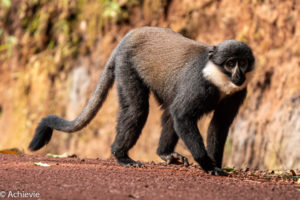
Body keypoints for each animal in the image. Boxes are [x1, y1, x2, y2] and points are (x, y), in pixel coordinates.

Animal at [29, 26, 255, 175]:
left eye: (243, 63)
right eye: (230, 64)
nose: (238, 75)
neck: (217, 78)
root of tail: (131, 34)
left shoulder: (238, 93)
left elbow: (219, 124)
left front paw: (215, 164)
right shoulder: (199, 85)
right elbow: (182, 115)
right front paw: (208, 165)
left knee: (168, 112)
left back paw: (165, 153)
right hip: (126, 66)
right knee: (137, 109)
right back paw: (121, 155)